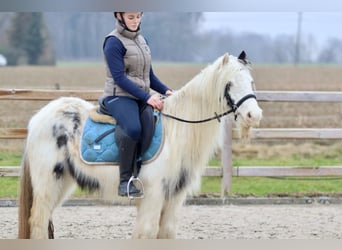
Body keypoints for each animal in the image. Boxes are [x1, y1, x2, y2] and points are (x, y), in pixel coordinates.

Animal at [18, 50, 262, 238]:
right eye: (229, 84)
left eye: (251, 82)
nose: (254, 115)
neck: (176, 131)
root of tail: (39, 118)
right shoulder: (153, 196)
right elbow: (146, 232)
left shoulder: (174, 197)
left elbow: (166, 232)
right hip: (48, 183)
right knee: (38, 222)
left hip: (62, 183)